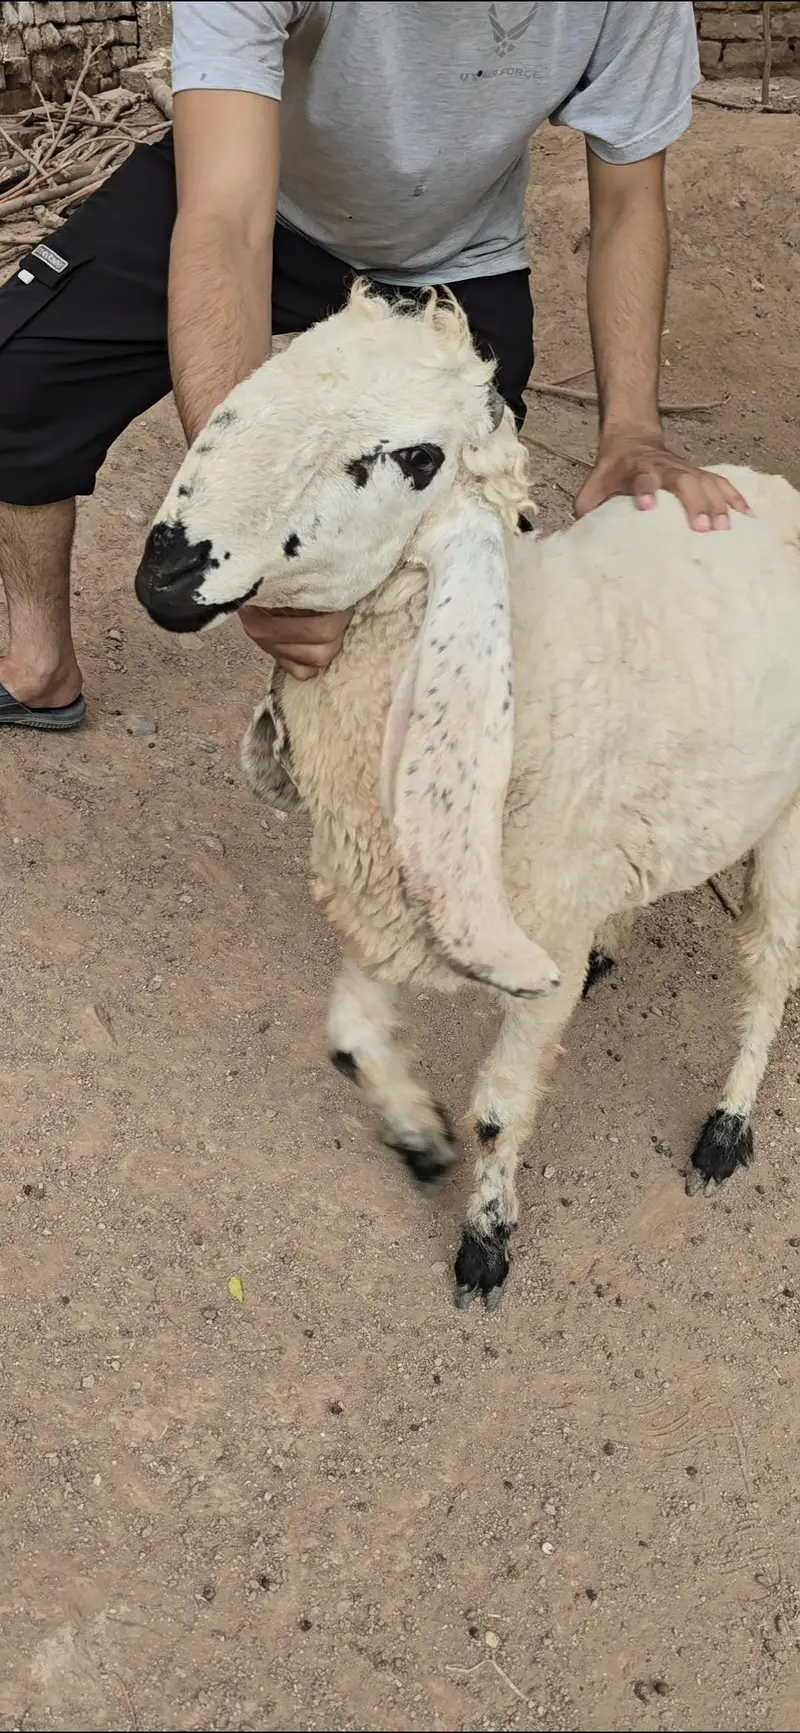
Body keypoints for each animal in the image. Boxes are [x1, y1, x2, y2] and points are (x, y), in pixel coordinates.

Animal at [135, 283, 800, 1310]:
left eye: (416, 459)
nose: (164, 574)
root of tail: (768, 488)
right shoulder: (400, 894)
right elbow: (349, 1039)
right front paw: (419, 1139)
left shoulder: (516, 932)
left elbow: (498, 1111)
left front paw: (485, 1241)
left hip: (787, 823)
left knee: (769, 971)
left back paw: (727, 1129)